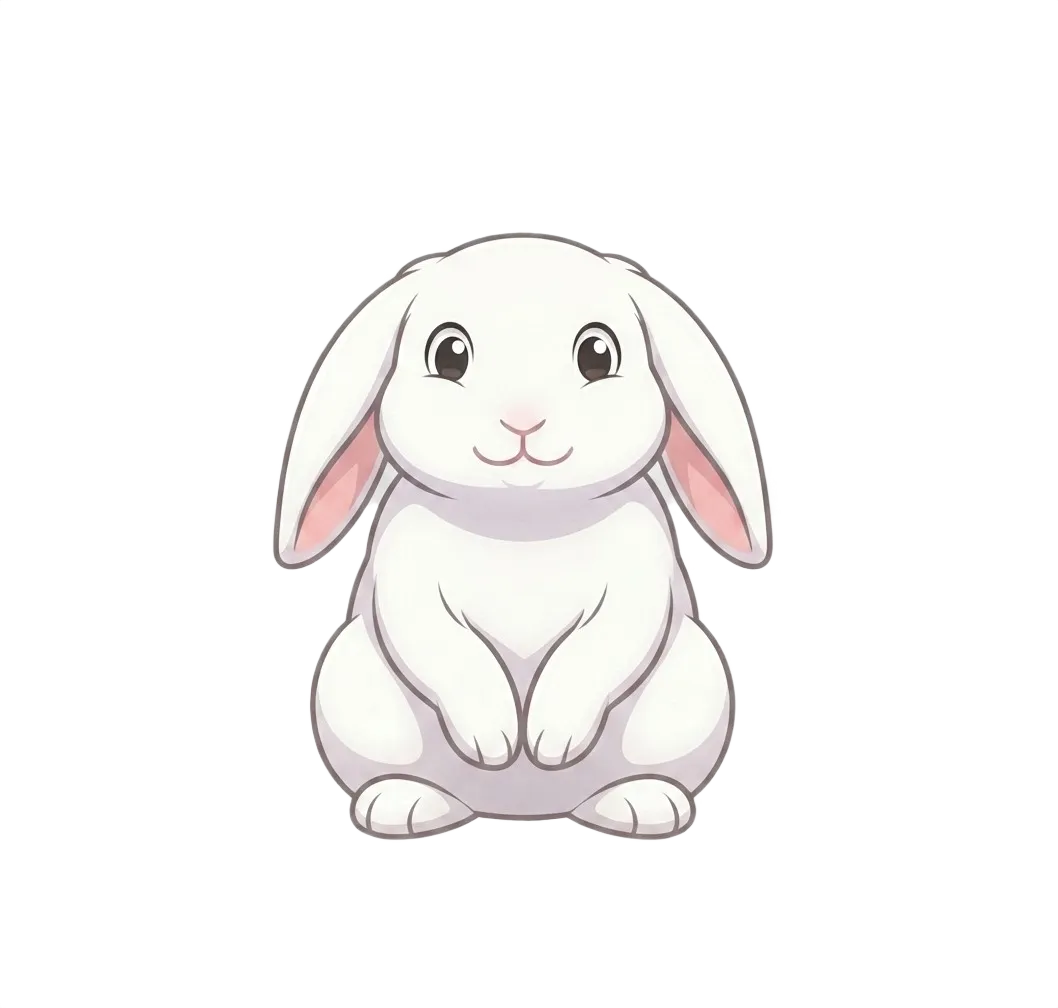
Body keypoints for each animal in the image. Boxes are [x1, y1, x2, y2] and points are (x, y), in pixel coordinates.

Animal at [273, 233, 773, 841]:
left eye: (598, 354)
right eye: (449, 355)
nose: (523, 418)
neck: (522, 523)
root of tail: (523, 808)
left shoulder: (636, 580)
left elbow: (599, 648)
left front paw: (549, 743)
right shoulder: (409, 580)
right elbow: (445, 647)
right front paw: (495, 743)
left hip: (696, 686)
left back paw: (642, 805)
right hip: (347, 685)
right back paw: (402, 805)